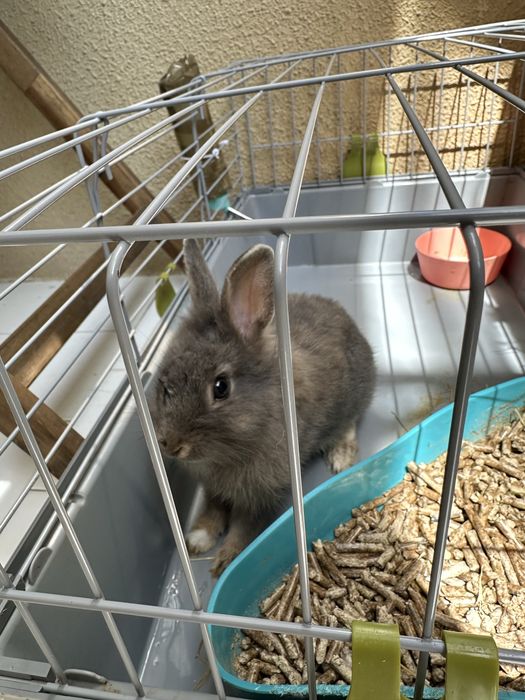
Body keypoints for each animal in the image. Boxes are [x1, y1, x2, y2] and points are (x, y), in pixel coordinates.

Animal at [150, 238, 376, 576]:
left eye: (221, 387)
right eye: (165, 384)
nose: (171, 444)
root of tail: (347, 318)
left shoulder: (261, 493)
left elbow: (245, 526)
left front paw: (225, 560)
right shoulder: (212, 486)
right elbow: (213, 507)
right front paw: (197, 539)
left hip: (353, 397)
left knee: (349, 423)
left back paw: (341, 457)